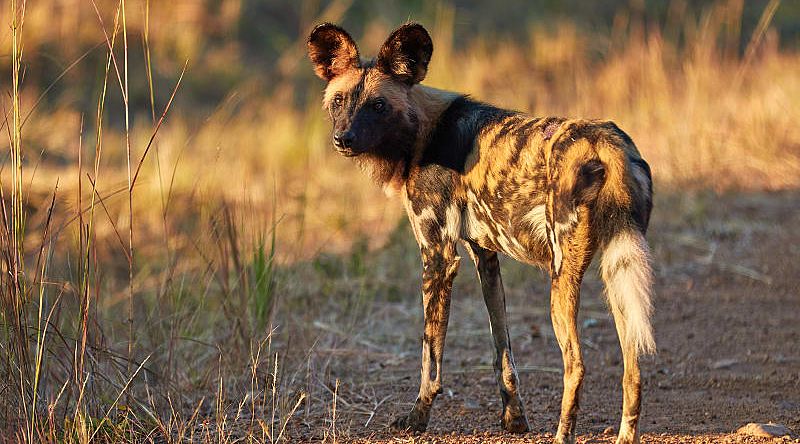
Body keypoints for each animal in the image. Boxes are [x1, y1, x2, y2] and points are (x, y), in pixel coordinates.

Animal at [308, 22, 656, 442]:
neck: (423, 134)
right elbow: (501, 350)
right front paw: (514, 419)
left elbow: (430, 358)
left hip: (562, 279)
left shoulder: (438, 257)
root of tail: (608, 144)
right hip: (617, 273)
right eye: (339, 101)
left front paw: (417, 418)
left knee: (576, 364)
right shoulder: (484, 256)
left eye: (377, 105)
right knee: (633, 369)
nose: (344, 139)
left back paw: (562, 434)